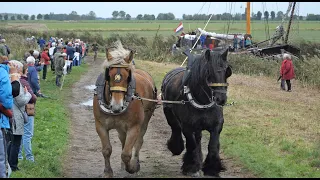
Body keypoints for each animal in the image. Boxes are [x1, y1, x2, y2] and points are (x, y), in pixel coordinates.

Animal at [92, 40, 158, 177]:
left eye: (128, 76)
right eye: (109, 75)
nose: (117, 106)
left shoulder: (133, 127)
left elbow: (126, 154)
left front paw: (132, 167)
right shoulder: (100, 126)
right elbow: (106, 150)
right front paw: (108, 172)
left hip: (146, 118)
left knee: (139, 141)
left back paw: (135, 162)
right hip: (120, 127)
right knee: (123, 140)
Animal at [161, 47, 231, 176]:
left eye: (226, 71)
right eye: (208, 71)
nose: (221, 98)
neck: (202, 102)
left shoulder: (216, 126)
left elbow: (213, 145)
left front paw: (212, 168)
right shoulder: (187, 127)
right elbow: (192, 144)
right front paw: (191, 166)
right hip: (170, 115)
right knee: (176, 129)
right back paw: (177, 148)